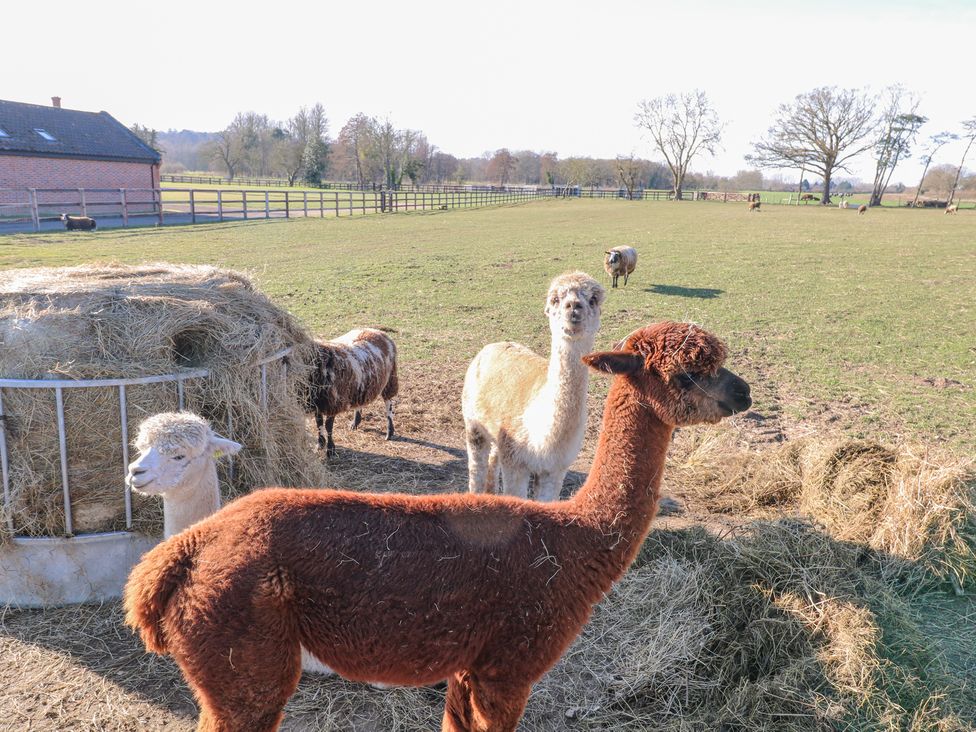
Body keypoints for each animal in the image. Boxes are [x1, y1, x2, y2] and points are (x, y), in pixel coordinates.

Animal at [304, 328, 396, 458]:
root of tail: (375, 330)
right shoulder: (319, 402)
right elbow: (319, 423)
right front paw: (320, 444)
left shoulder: (334, 401)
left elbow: (328, 426)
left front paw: (330, 449)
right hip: (361, 384)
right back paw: (355, 422)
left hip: (390, 378)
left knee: (389, 403)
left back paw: (390, 430)